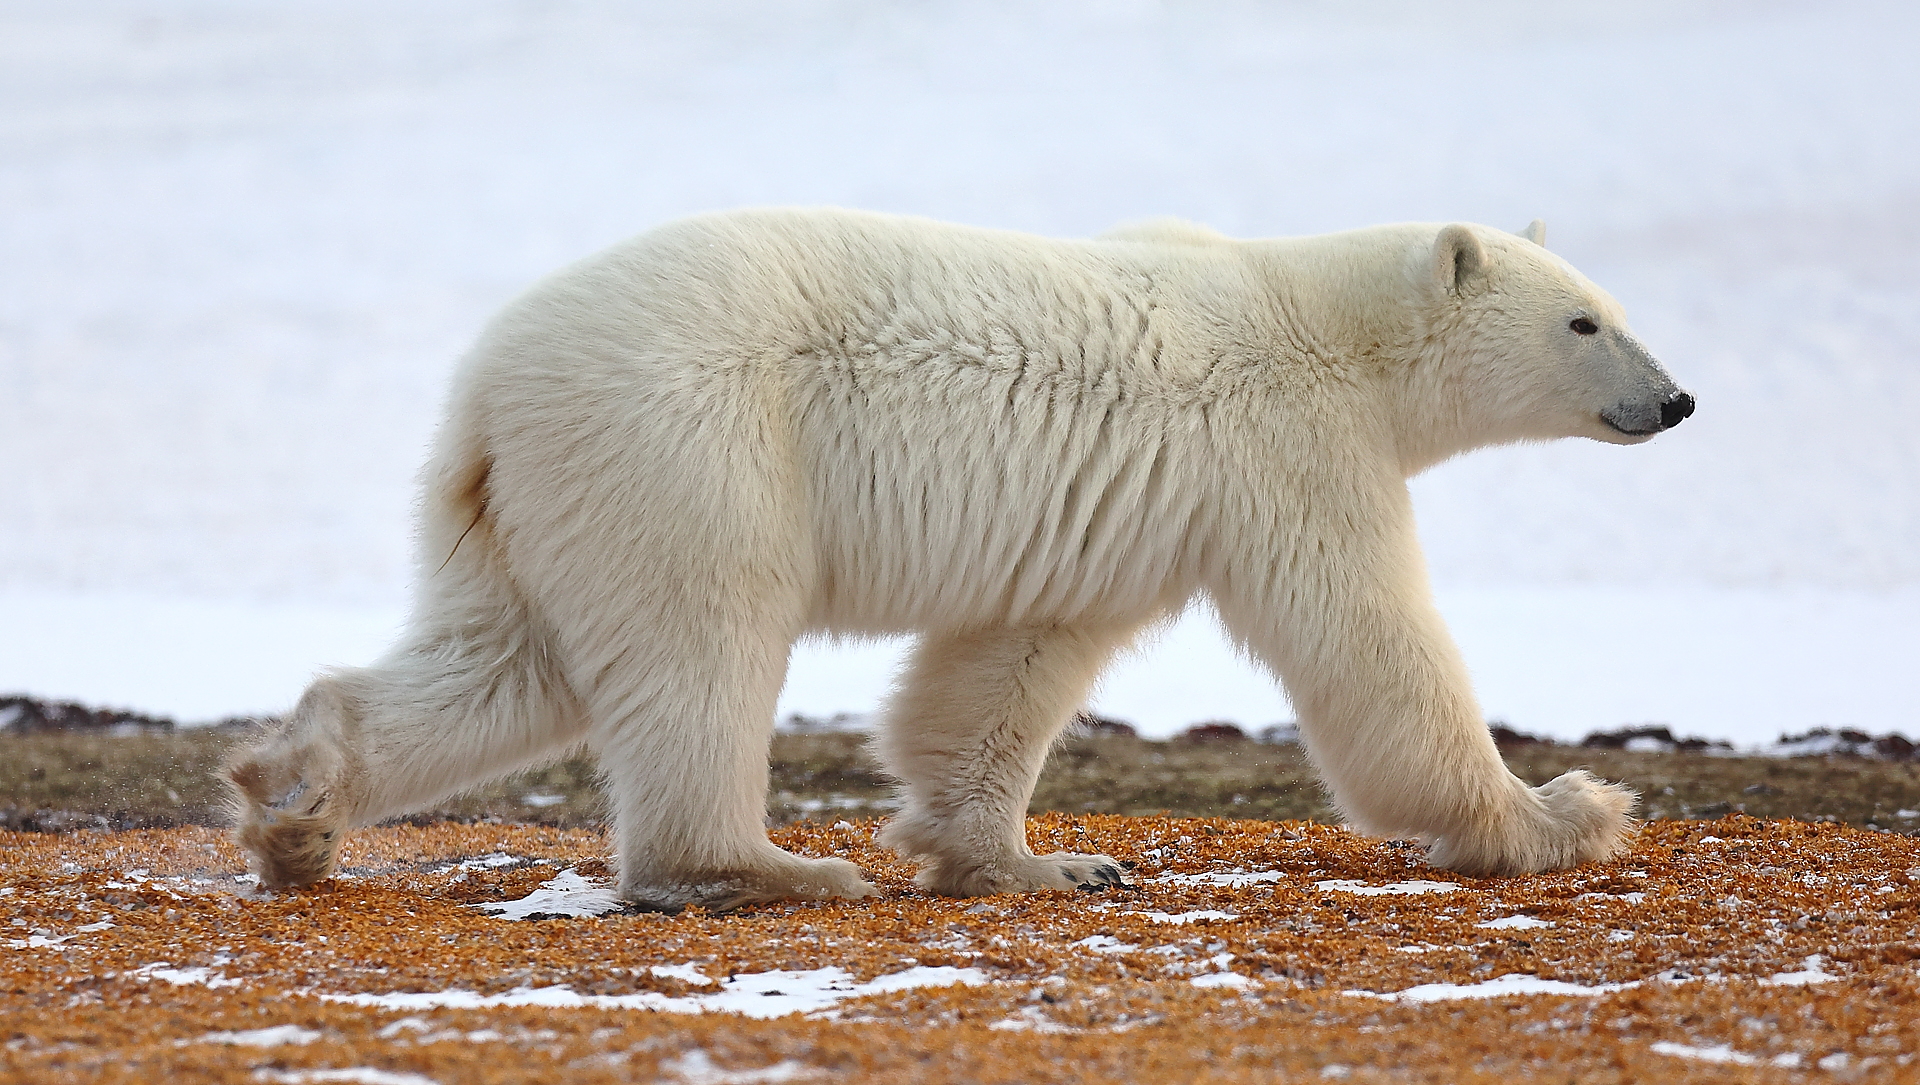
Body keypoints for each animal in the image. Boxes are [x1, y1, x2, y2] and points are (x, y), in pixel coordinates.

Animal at [228, 207, 1697, 910]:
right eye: (1584, 321)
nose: (1679, 399)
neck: (1320, 317)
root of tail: (488, 384)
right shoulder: (1287, 446)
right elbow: (1371, 640)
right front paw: (1562, 810)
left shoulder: (1116, 510)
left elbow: (1008, 664)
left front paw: (1033, 860)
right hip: (694, 440)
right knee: (703, 639)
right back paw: (760, 866)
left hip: (543, 497)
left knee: (506, 660)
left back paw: (294, 791)